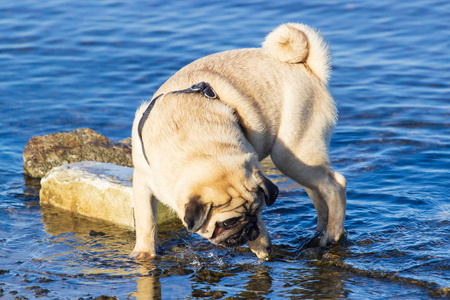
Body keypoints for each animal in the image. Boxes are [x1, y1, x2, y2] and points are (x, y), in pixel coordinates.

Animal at [128, 22, 346, 260]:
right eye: (228, 223)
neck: (198, 146)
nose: (249, 229)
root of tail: (307, 67)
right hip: (298, 161)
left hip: (290, 155)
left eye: (257, 211)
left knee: (334, 185)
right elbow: (146, 223)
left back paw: (331, 236)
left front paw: (261, 246)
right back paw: (320, 231)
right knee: (318, 193)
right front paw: (144, 253)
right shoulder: (142, 182)